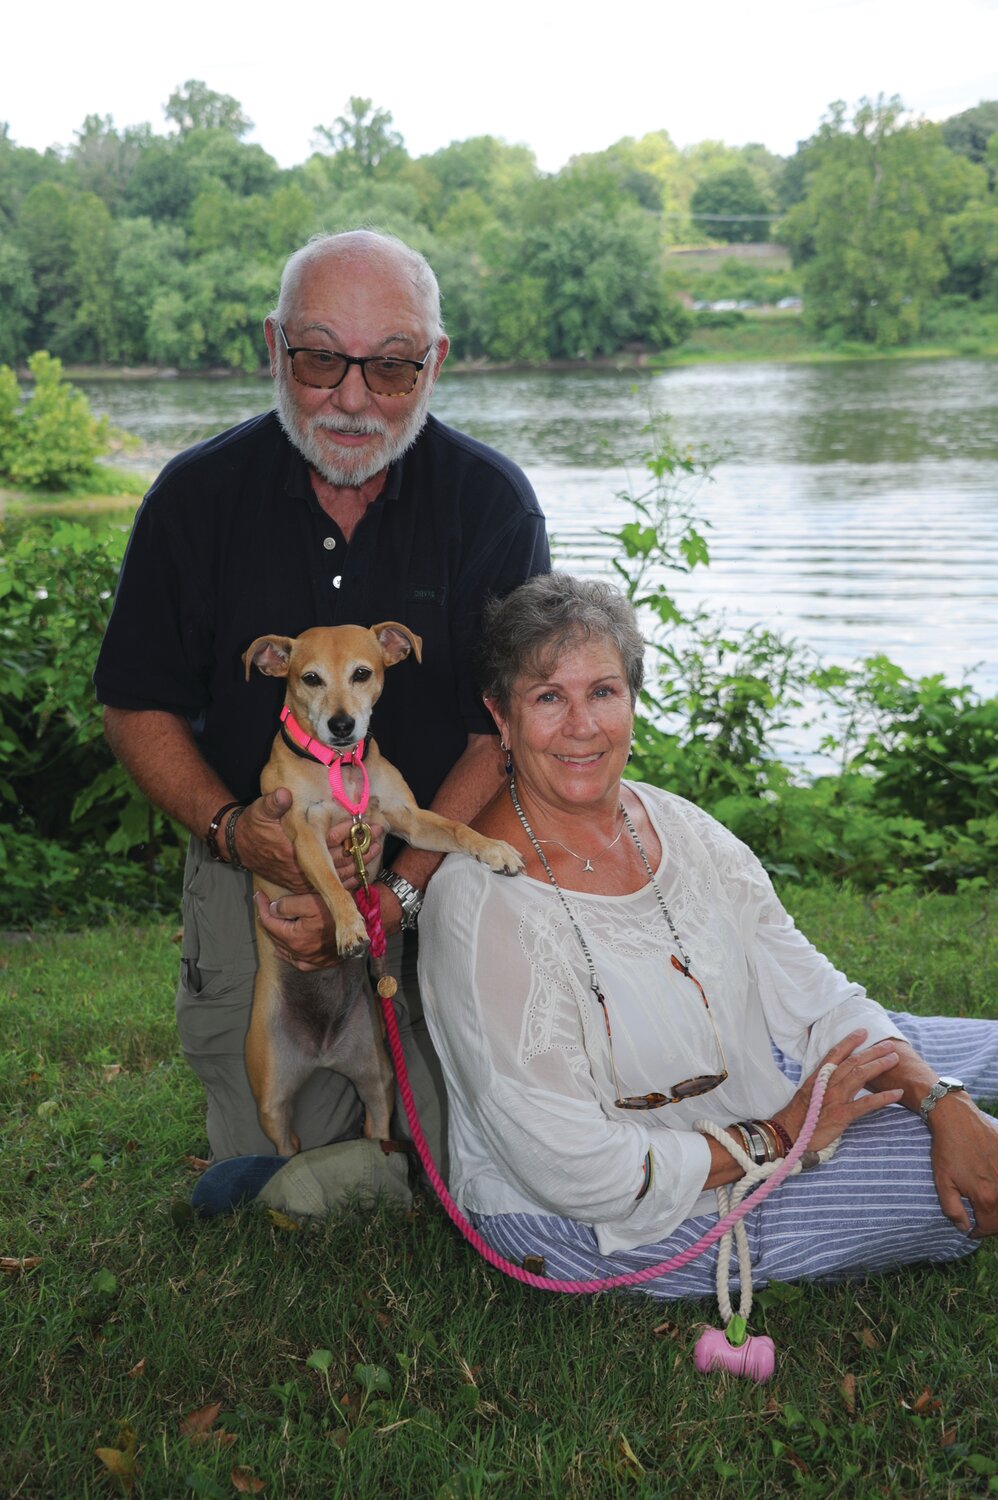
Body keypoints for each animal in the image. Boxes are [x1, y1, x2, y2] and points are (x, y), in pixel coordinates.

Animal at [241, 621, 522, 1158]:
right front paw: (350, 926)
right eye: (309, 678)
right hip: (269, 1101)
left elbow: (458, 829)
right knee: (286, 1144)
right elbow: (333, 884)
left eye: (362, 673)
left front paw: (494, 849)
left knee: (375, 1124)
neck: (341, 768)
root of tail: (323, 1052)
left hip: (378, 1079)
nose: (342, 725)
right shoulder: (304, 836)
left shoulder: (407, 818)